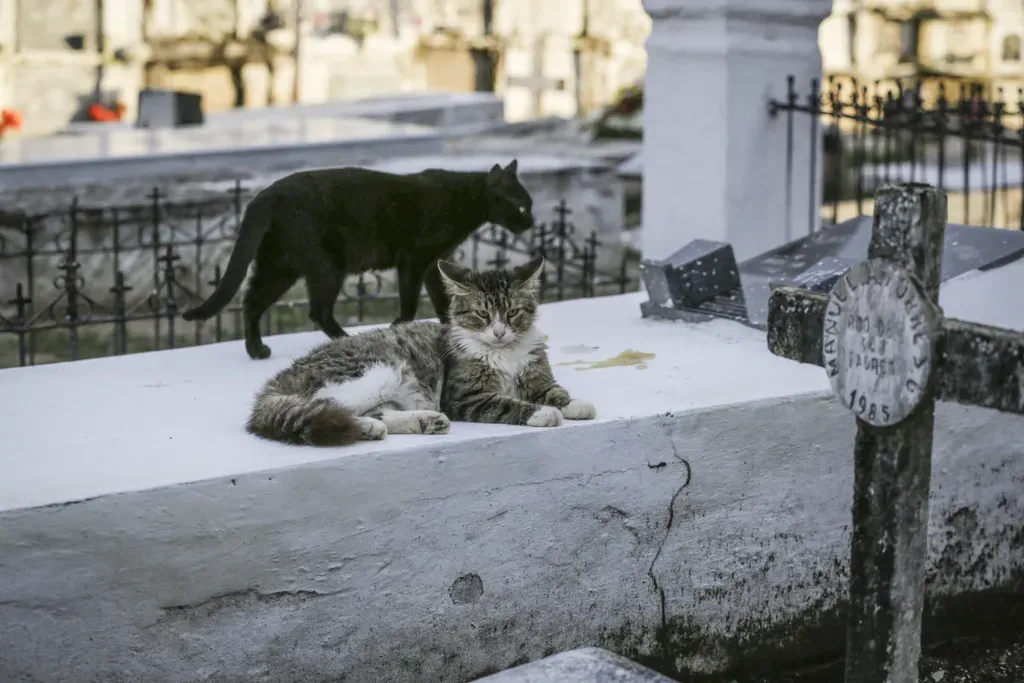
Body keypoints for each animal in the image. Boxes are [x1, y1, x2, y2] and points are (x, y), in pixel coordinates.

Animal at [182, 160, 536, 362]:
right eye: (521, 206)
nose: (531, 222)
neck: (466, 198)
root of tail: (264, 195)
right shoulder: (414, 260)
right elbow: (410, 303)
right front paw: (398, 328)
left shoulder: (434, 262)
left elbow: (440, 301)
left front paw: (451, 330)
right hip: (326, 267)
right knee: (317, 311)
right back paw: (348, 341)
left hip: (279, 267)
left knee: (253, 301)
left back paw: (256, 350)